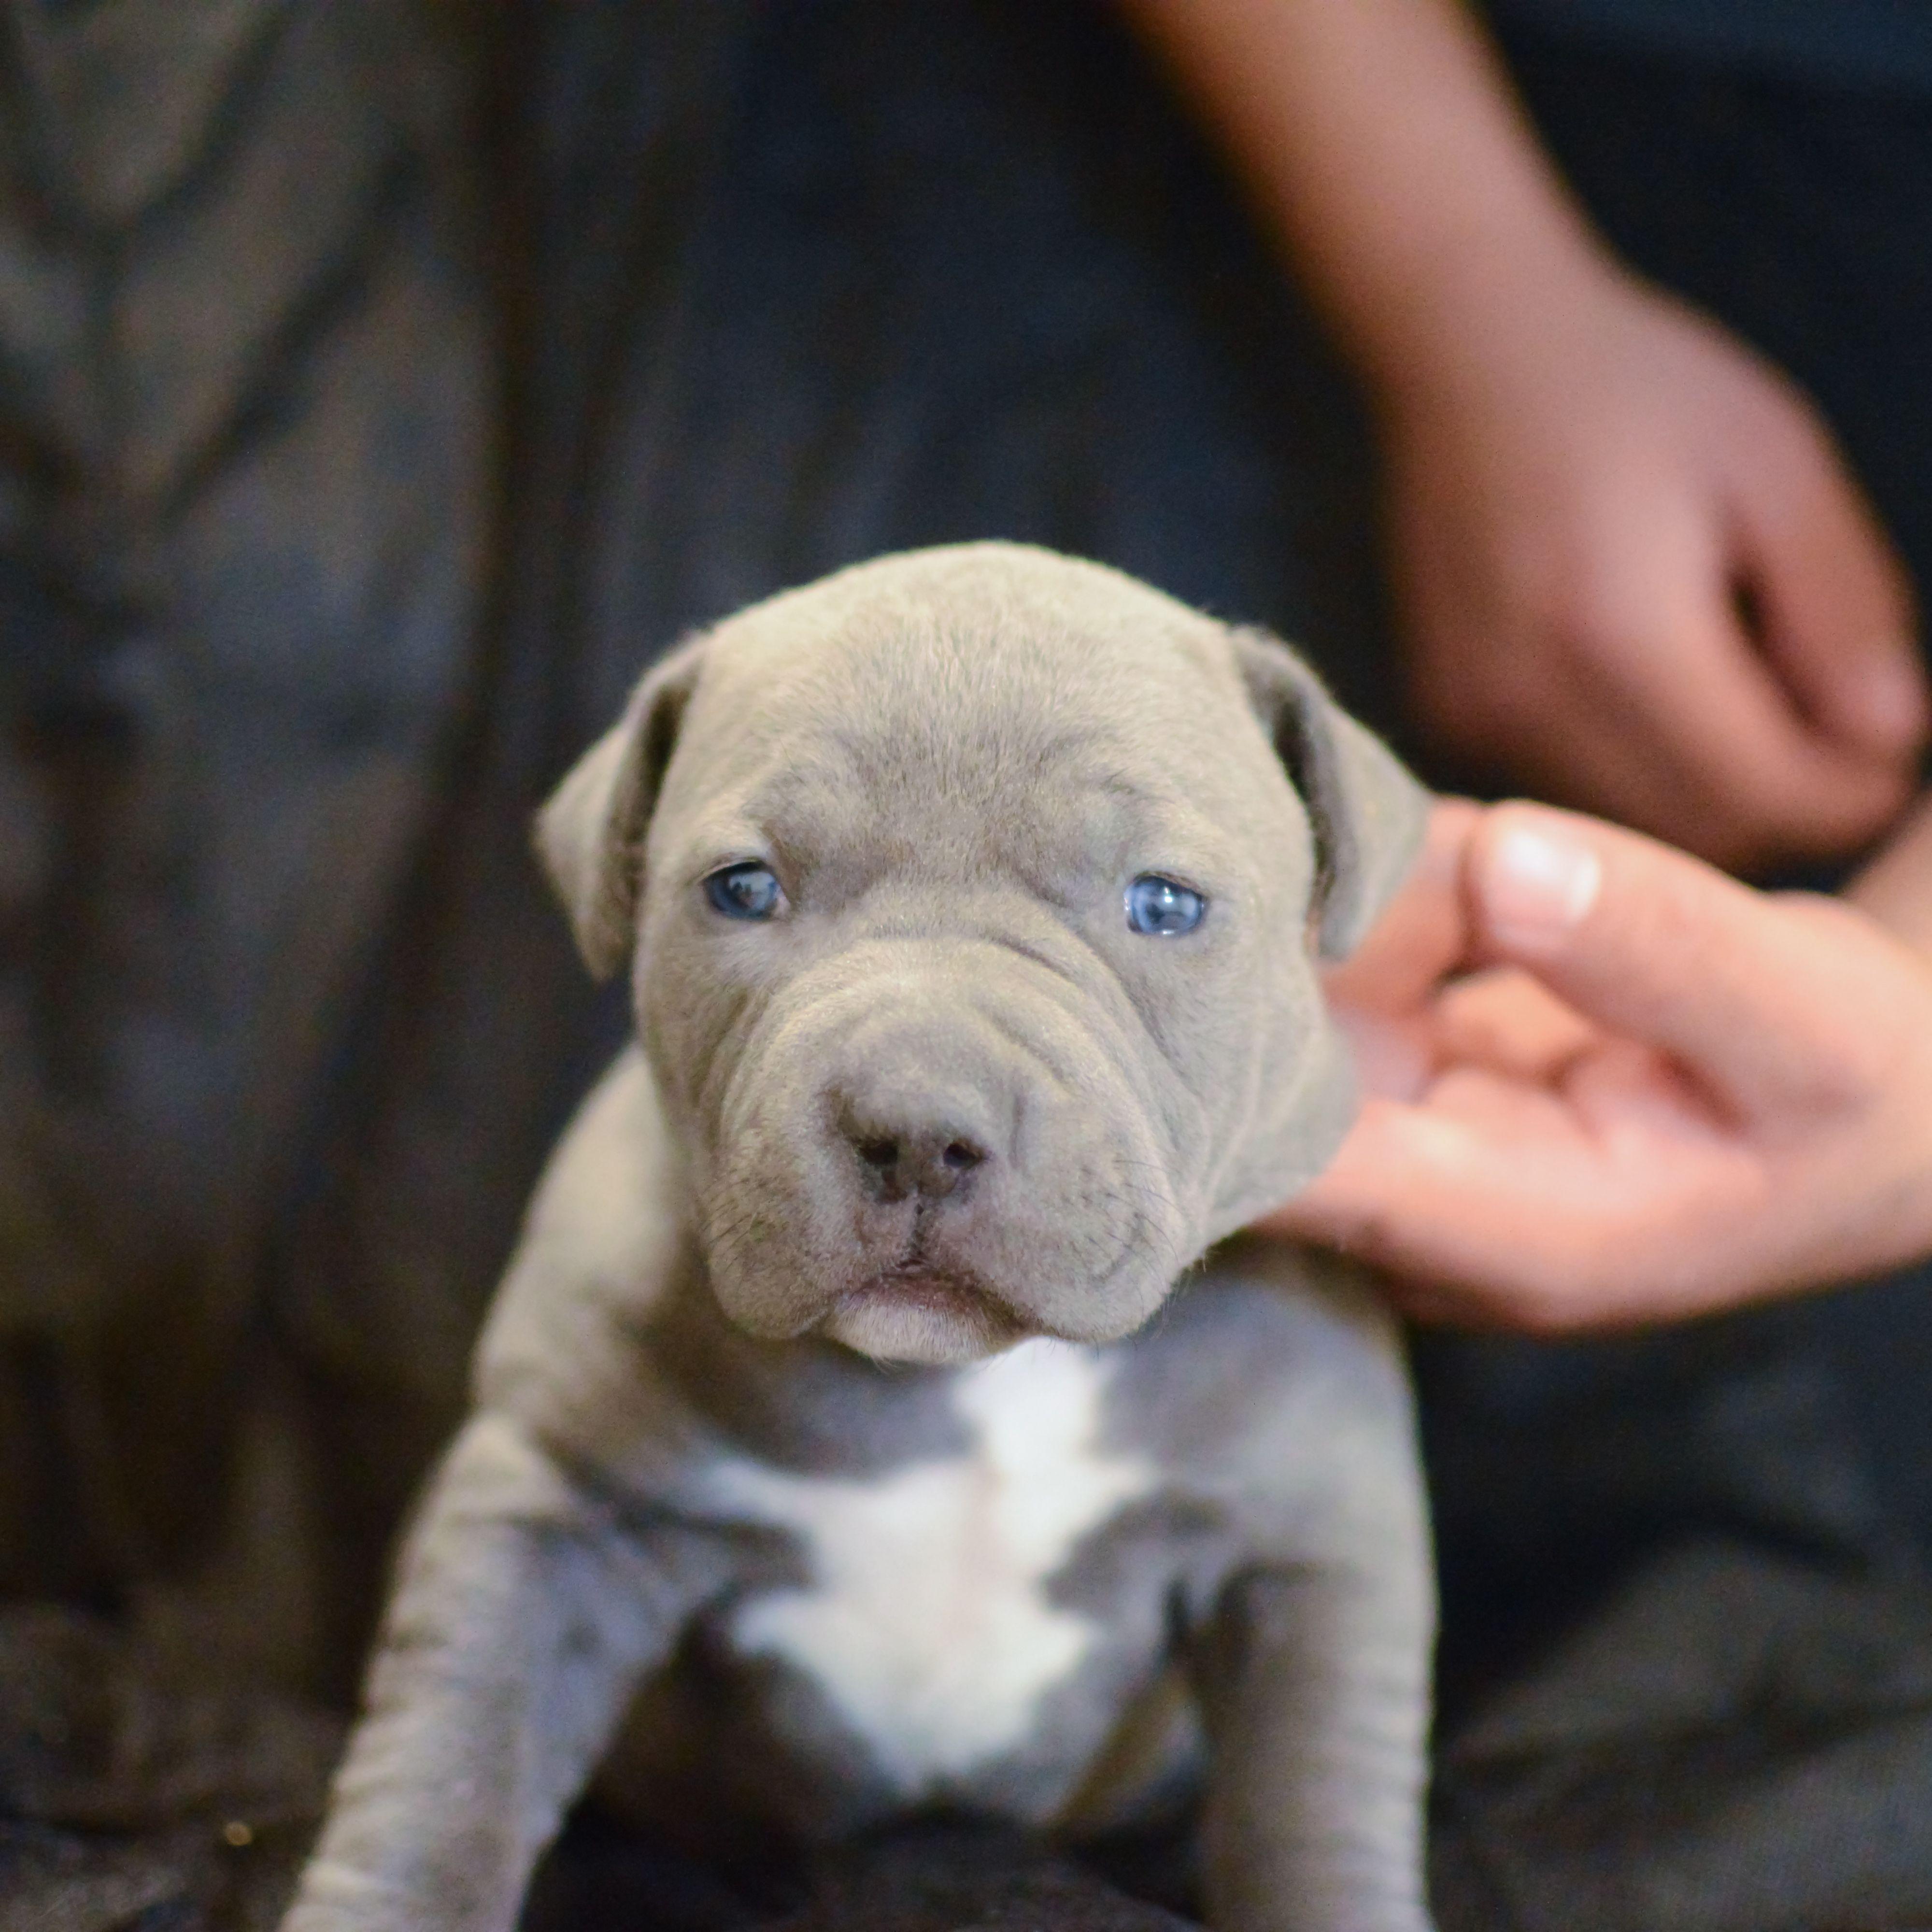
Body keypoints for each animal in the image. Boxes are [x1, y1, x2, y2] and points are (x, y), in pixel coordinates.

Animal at [282, 545, 1437, 1932]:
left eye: (1163, 904)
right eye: (742, 889)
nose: (920, 1125)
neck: (971, 1379)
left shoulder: (1311, 1554)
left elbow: (1313, 1812)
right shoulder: (561, 1506)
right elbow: (451, 1764)